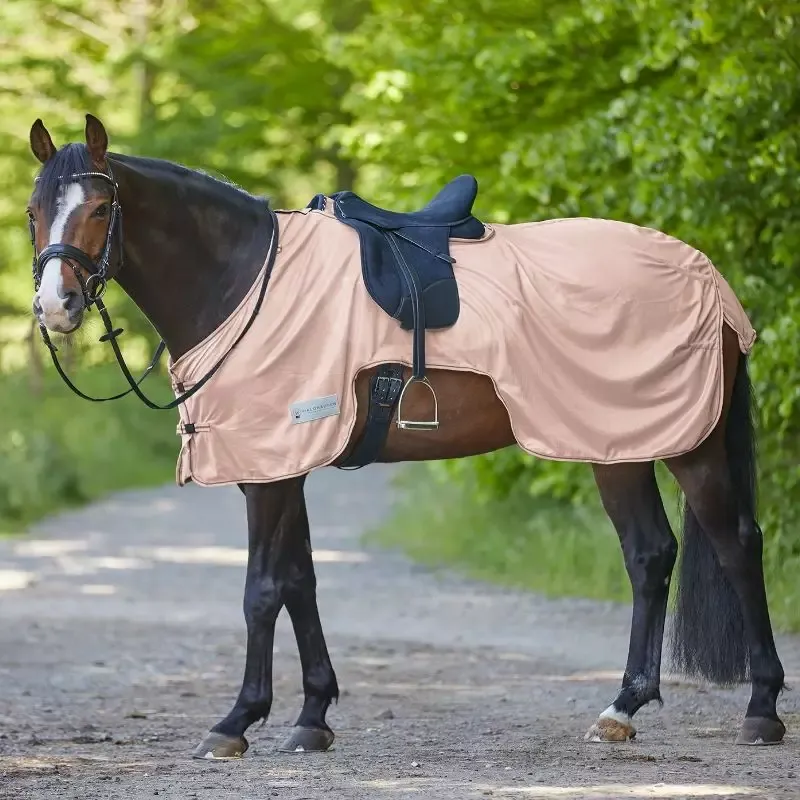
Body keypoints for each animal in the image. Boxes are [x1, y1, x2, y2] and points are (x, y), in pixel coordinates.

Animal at [23, 114, 786, 759]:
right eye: (34, 211)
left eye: (99, 208)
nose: (55, 307)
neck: (243, 282)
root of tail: (709, 278)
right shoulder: (283, 464)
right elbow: (300, 580)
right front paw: (312, 718)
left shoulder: (272, 466)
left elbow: (262, 589)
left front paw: (236, 721)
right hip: (616, 444)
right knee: (650, 556)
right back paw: (622, 709)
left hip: (688, 445)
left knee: (736, 545)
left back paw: (761, 711)